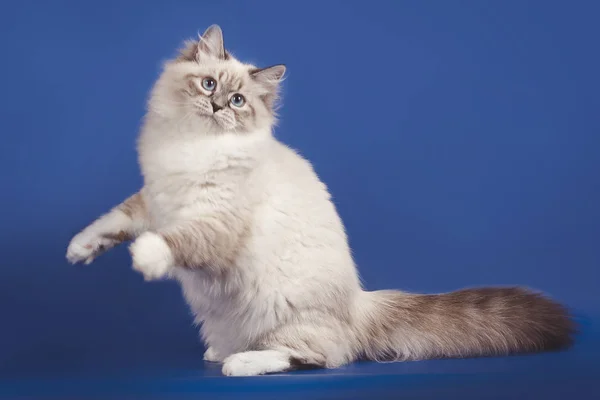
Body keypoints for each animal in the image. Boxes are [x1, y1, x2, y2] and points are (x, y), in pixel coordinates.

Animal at [63, 24, 576, 376]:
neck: (193, 147)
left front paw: (146, 258)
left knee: (319, 358)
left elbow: (174, 241)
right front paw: (79, 250)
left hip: (289, 318)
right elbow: (112, 222)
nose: (217, 106)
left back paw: (239, 361)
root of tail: (359, 302)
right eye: (209, 86)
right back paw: (221, 350)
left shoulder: (212, 224)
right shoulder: (153, 200)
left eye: (238, 101)